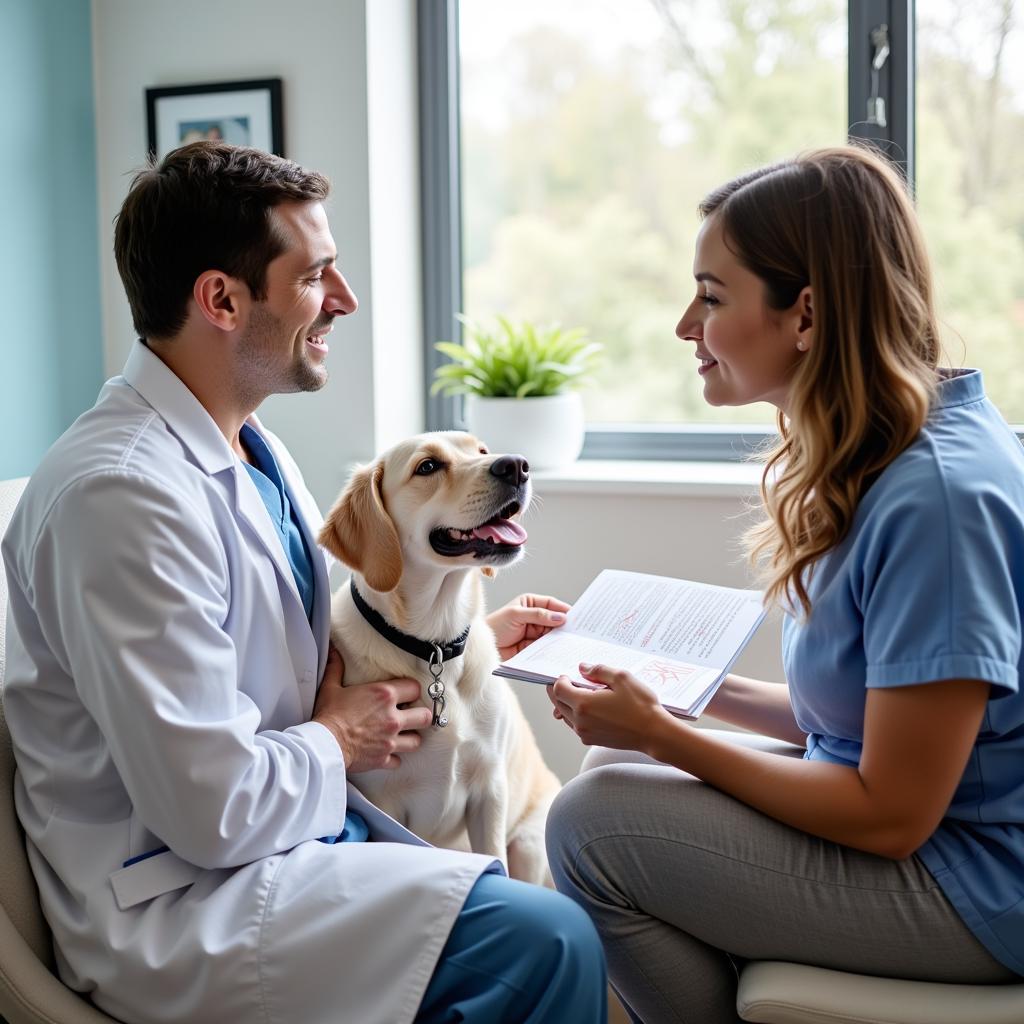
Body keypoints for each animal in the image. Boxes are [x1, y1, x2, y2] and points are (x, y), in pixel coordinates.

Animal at [317, 428, 561, 884]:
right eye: (427, 466)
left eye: (481, 451)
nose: (517, 465)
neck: (434, 649)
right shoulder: (384, 806)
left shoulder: (490, 793)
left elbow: (495, 856)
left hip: (529, 842)